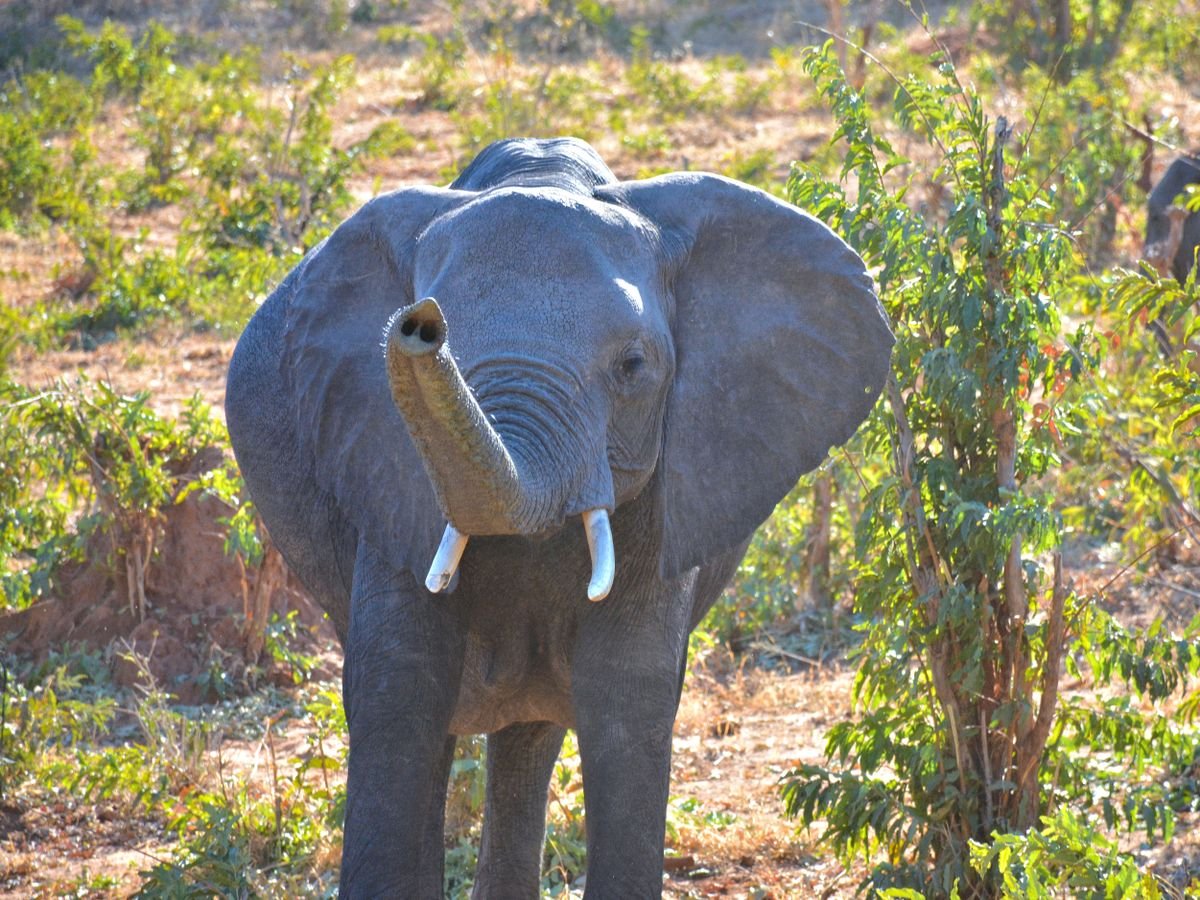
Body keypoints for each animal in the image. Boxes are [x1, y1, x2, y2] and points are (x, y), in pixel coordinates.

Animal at [225, 136, 893, 898]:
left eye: (633, 366)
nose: (419, 325)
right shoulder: (385, 470)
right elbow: (398, 692)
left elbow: (626, 700)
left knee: (529, 735)